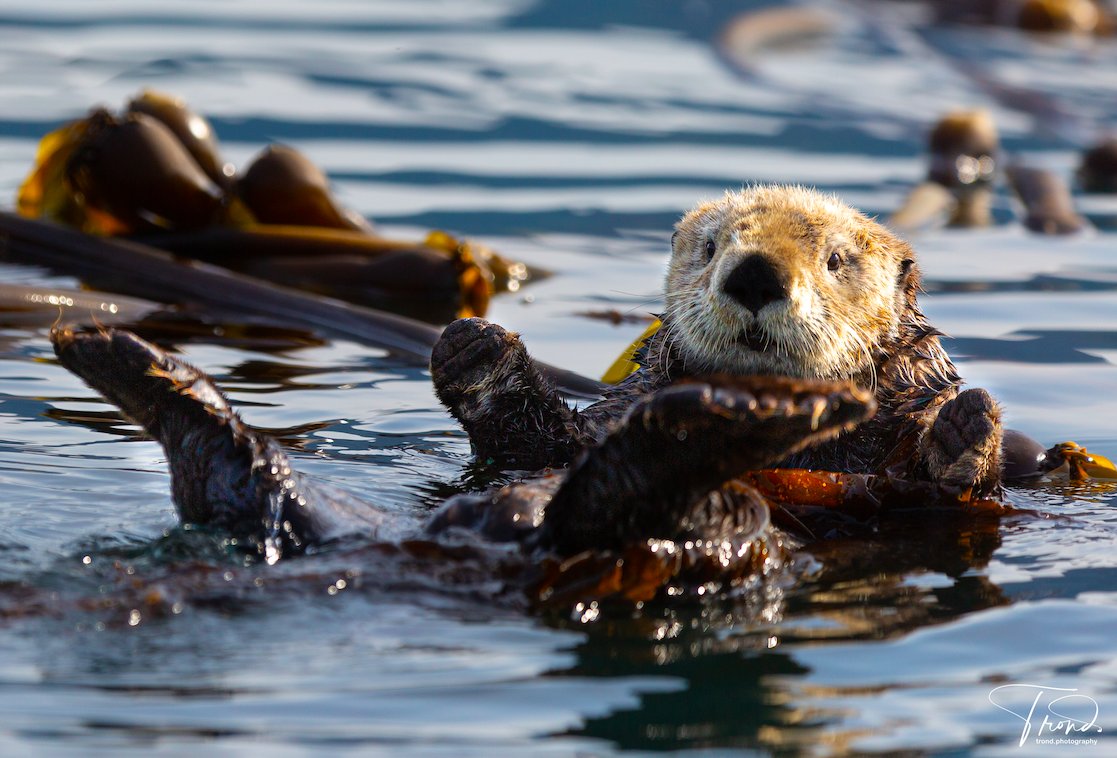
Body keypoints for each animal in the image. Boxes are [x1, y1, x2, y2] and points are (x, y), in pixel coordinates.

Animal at [432, 185, 1004, 496]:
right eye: (709, 248)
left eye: (835, 260)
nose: (754, 274)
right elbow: (542, 448)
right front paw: (475, 349)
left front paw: (964, 425)